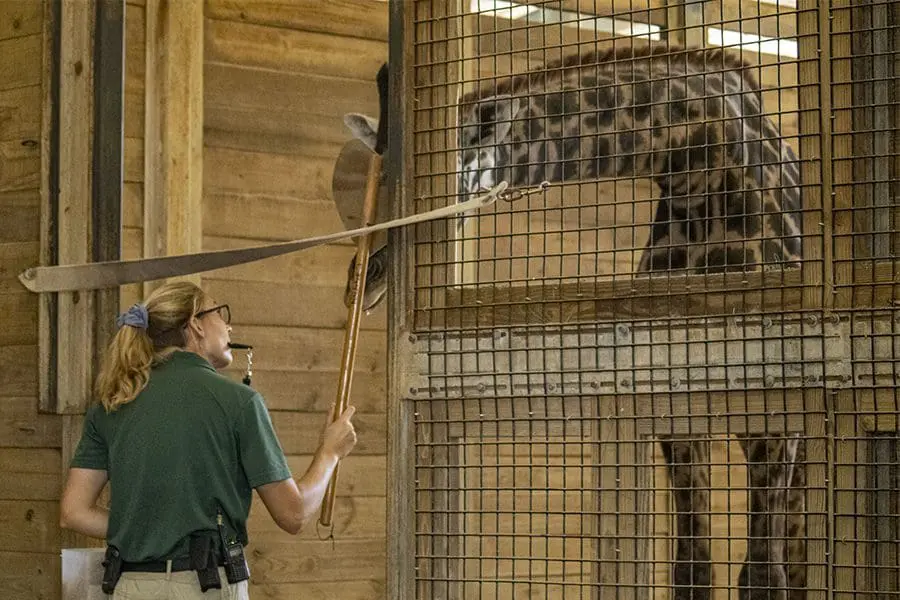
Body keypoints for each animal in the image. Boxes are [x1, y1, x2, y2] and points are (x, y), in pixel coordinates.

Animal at [342, 43, 808, 600]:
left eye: (427, 179)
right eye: (377, 174)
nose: (363, 276)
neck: (697, 171)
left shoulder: (776, 416)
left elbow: (761, 576)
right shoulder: (675, 414)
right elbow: (692, 571)